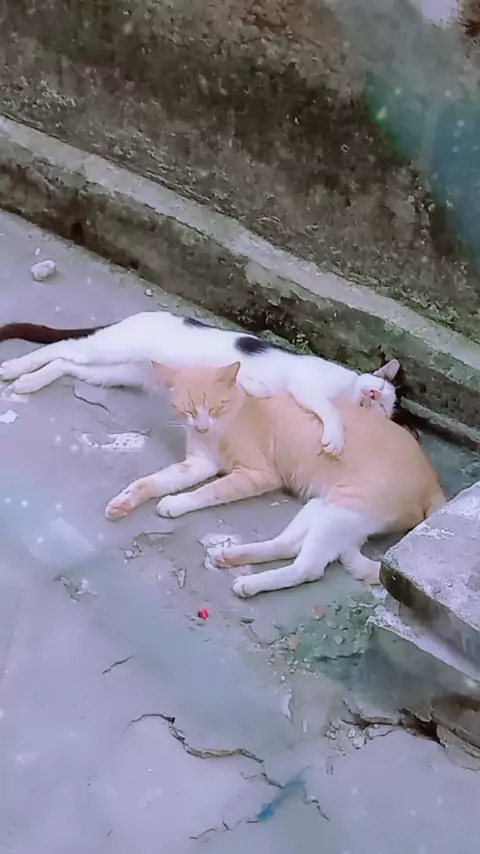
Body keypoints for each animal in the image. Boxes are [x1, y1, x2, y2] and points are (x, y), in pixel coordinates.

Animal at [0, 312, 400, 455]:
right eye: (382, 395)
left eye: (385, 405)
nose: (375, 397)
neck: (346, 386)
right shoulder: (309, 387)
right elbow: (328, 409)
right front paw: (335, 436)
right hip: (112, 347)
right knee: (64, 347)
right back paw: (14, 367)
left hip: (118, 371)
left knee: (66, 363)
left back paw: (30, 382)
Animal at [104, 361, 445, 598]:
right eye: (187, 410)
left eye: (215, 408)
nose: (201, 426)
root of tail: (434, 482)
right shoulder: (198, 463)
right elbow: (151, 481)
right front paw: (124, 501)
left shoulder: (255, 474)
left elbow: (210, 491)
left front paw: (176, 503)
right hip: (324, 504)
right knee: (288, 544)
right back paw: (232, 556)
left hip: (345, 508)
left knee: (308, 568)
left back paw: (251, 583)